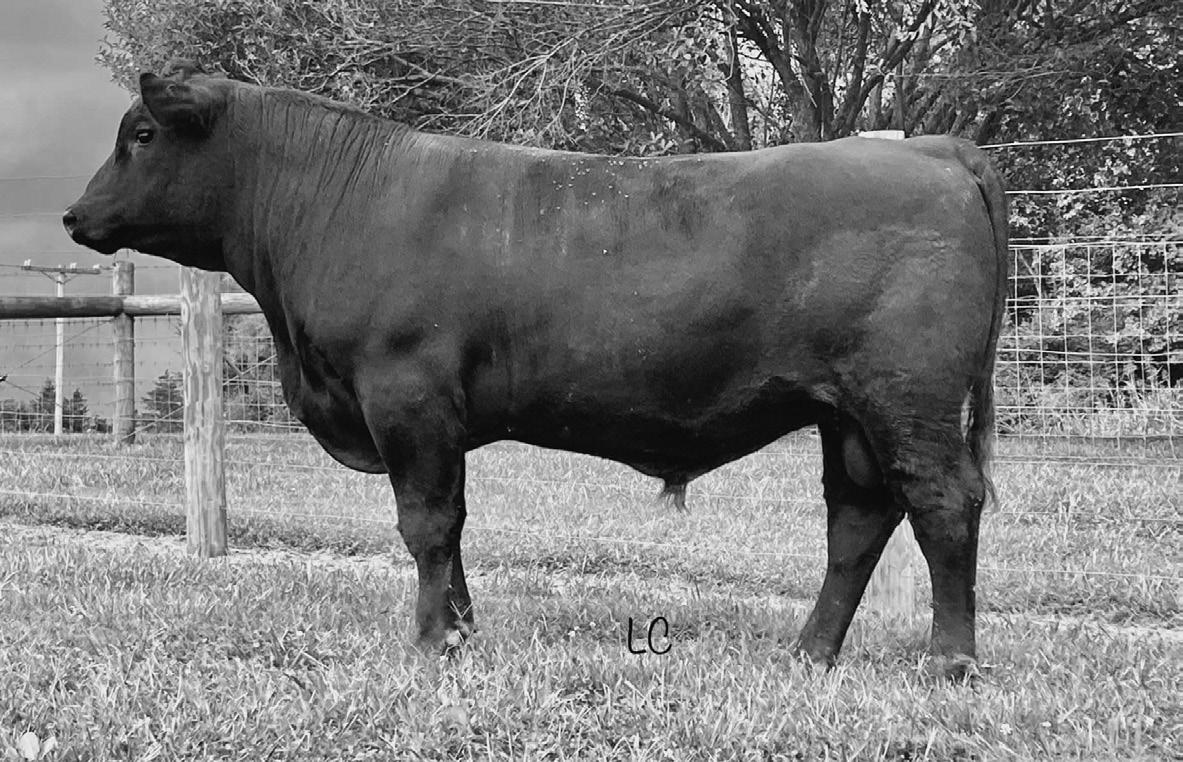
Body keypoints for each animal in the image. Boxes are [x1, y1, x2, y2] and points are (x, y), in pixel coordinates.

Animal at [65, 62, 1008, 678]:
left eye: (141, 135)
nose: (73, 214)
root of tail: (933, 149)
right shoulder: (432, 420)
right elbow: (451, 528)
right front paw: (460, 629)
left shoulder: (406, 395)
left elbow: (426, 523)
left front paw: (430, 644)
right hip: (846, 413)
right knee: (857, 519)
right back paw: (809, 653)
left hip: (907, 399)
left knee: (940, 505)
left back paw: (949, 663)